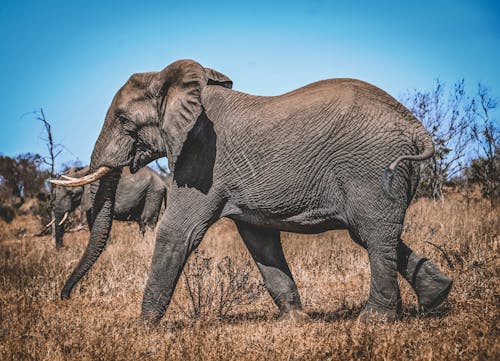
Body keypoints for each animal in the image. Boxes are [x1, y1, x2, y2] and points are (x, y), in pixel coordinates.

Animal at [52, 60, 456, 322]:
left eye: (123, 120)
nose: (65, 297)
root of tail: (417, 127)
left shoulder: (201, 157)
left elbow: (177, 232)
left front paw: (143, 328)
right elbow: (259, 239)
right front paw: (294, 321)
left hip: (371, 168)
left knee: (372, 235)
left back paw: (374, 321)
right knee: (374, 234)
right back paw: (436, 297)